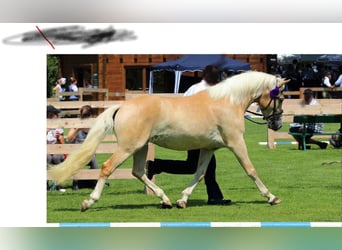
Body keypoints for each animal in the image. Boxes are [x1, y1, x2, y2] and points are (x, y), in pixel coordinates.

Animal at [48, 71, 288, 211]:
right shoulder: (236, 143)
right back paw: (89, 202)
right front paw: (272, 197)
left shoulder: (209, 148)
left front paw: (183, 200)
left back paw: (165, 200)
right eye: (282, 97)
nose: (277, 124)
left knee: (139, 171)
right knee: (108, 167)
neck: (228, 102)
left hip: (141, 147)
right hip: (128, 147)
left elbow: (200, 173)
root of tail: (122, 106)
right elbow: (251, 170)